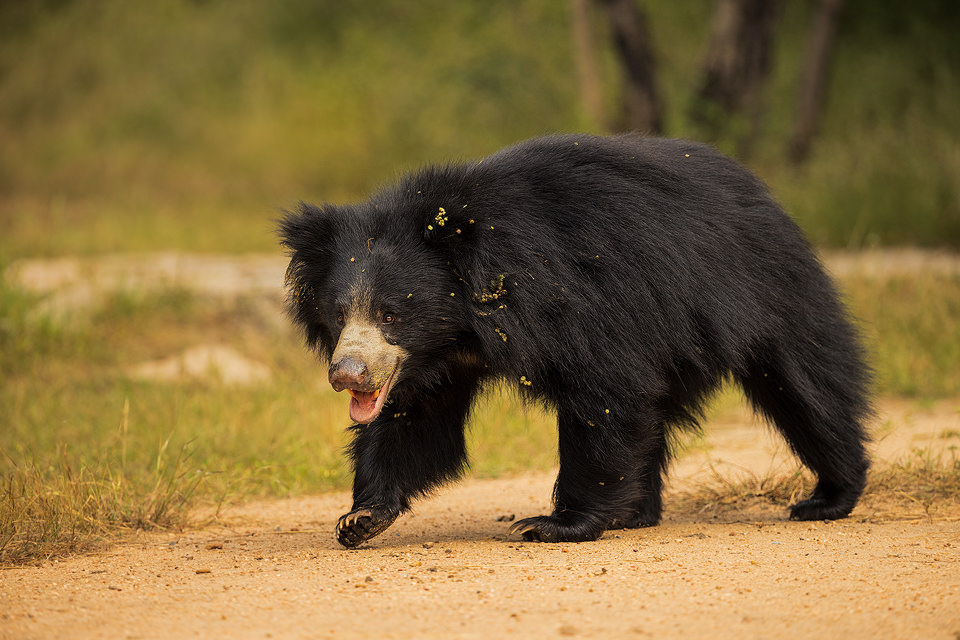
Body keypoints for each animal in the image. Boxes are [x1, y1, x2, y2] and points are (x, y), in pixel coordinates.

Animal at [276, 132, 872, 548]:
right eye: (337, 313)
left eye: (392, 313)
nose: (347, 375)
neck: (467, 321)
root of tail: (759, 191)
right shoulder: (435, 361)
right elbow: (417, 421)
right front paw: (360, 518)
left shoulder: (585, 301)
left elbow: (605, 397)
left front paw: (553, 524)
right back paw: (634, 514)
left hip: (763, 288)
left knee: (806, 384)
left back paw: (827, 497)